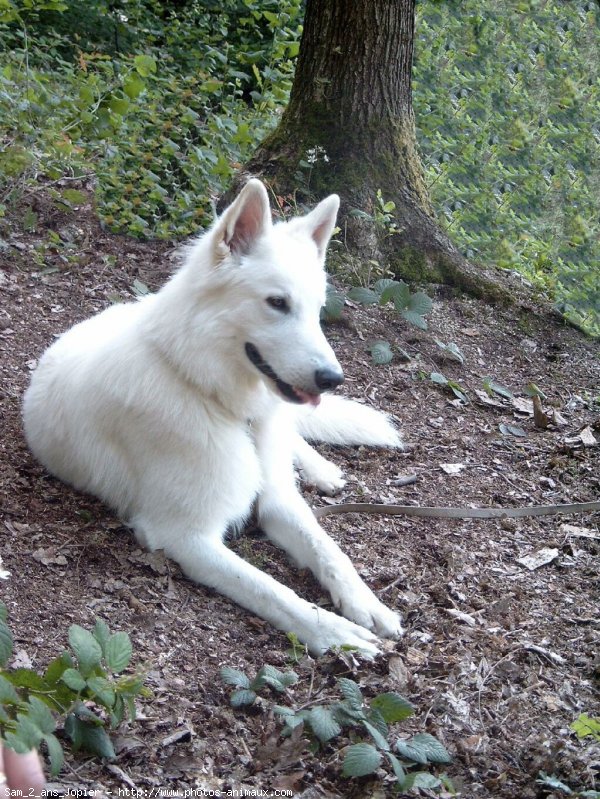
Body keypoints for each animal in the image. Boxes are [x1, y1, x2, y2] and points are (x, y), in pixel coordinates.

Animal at [25, 181, 406, 656]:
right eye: (277, 303)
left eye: (317, 310)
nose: (332, 379)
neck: (214, 399)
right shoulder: (184, 536)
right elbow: (272, 590)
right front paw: (337, 634)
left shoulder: (279, 501)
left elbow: (328, 549)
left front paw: (365, 603)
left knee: (292, 435)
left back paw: (321, 468)